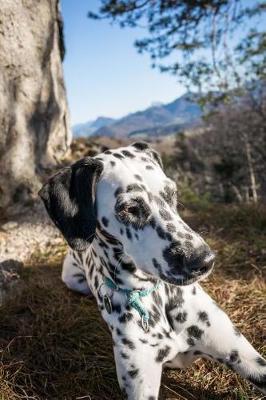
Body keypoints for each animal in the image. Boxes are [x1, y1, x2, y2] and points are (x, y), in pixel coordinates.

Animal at [39, 142, 266, 398]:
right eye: (130, 208)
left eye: (171, 193)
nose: (204, 260)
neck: (156, 298)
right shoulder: (140, 384)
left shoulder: (244, 355)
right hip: (72, 279)